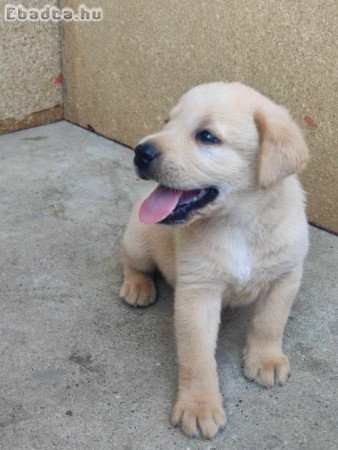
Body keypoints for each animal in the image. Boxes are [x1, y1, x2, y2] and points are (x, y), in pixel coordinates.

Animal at [119, 82, 308, 438]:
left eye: (207, 137)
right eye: (168, 121)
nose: (140, 152)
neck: (239, 223)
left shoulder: (286, 275)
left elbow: (270, 321)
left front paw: (265, 359)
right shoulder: (198, 292)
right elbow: (197, 357)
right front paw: (199, 406)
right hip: (138, 240)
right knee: (129, 260)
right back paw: (137, 286)